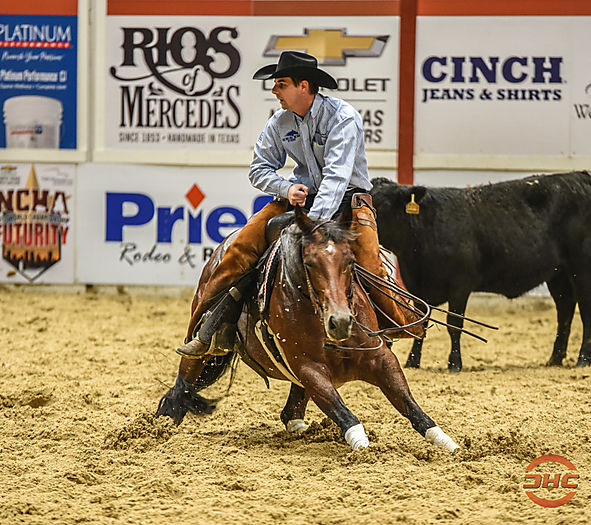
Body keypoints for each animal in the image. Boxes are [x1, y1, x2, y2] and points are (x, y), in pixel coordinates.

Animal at [157, 206, 460, 451]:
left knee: (290, 413)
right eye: (310, 263)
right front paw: (363, 448)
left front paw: (450, 445)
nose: (340, 321)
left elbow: (412, 407)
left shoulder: (381, 358)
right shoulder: (309, 369)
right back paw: (157, 429)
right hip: (202, 346)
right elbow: (345, 414)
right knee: (180, 388)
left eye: (350, 261)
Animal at [370, 171, 591, 372]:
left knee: (584, 311)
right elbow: (421, 323)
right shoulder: (417, 287)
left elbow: (454, 324)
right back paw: (555, 358)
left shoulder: (460, 285)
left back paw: (583, 360)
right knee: (565, 309)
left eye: (383, 206)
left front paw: (454, 364)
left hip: (581, 268)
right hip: (559, 274)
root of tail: (579, 176)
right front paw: (413, 362)